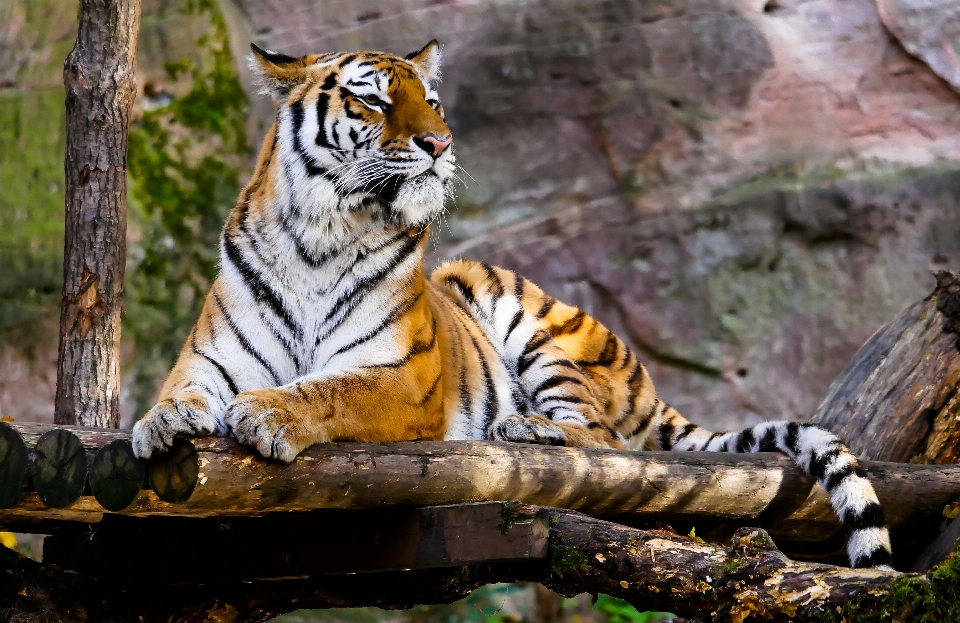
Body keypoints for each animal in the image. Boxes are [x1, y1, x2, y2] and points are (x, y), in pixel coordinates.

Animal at [131, 40, 896, 572]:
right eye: (374, 101)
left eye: (433, 102)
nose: (439, 143)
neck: (319, 237)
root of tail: (647, 382)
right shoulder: (210, 358)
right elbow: (181, 391)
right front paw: (159, 424)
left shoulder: (403, 379)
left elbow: (330, 389)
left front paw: (268, 413)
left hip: (524, 317)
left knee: (608, 442)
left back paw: (525, 429)